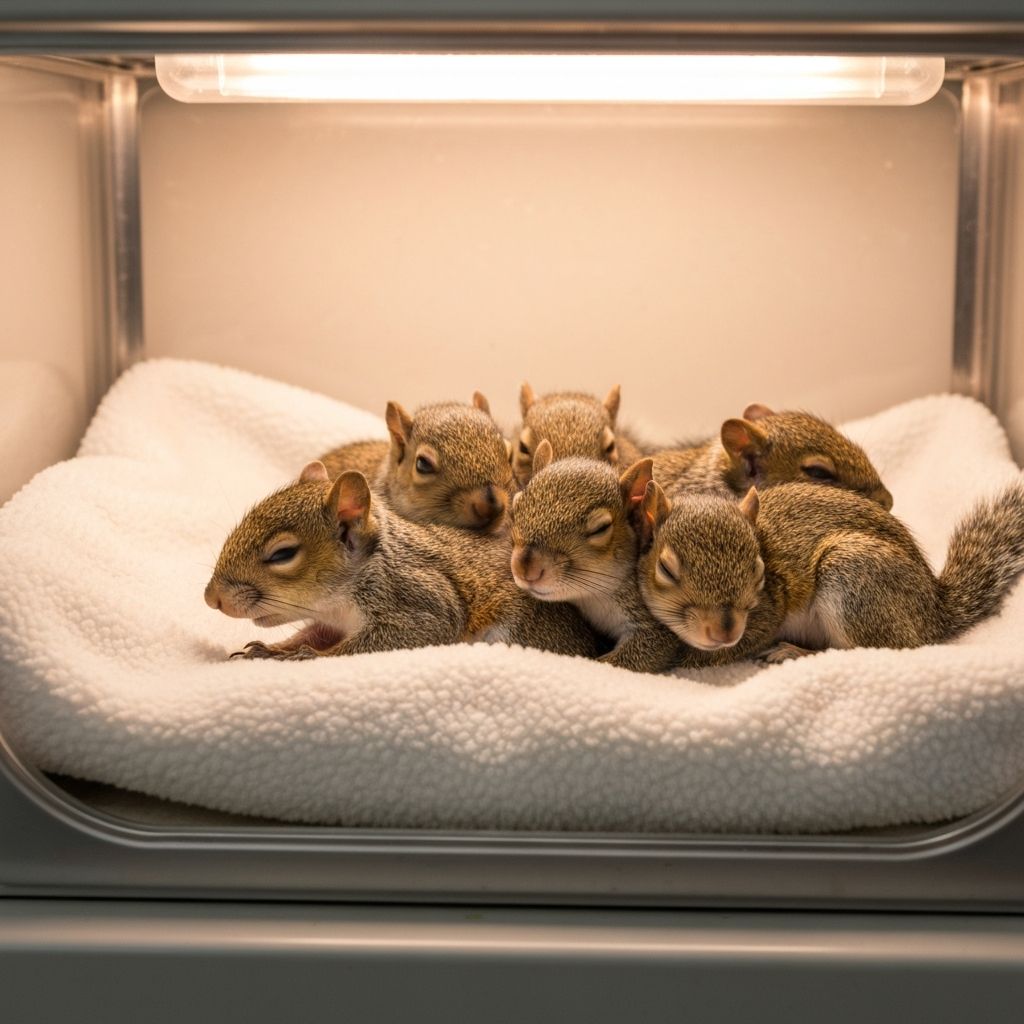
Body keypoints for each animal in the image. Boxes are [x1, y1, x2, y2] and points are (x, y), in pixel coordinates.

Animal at [204, 460, 600, 661]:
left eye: (282, 554)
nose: (211, 598)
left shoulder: (418, 600)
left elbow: (364, 645)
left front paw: (305, 657)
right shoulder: (330, 620)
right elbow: (312, 633)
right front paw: (272, 650)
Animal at [636, 476, 1024, 663]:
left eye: (758, 570)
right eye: (666, 569)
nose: (724, 632)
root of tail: (934, 614)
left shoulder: (767, 612)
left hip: (853, 579)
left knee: (869, 651)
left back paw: (794, 652)